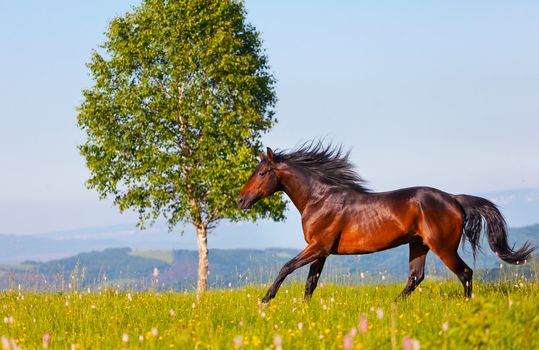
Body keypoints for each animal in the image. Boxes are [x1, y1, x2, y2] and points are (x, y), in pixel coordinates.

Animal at [239, 142, 536, 304]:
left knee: (465, 273)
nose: (241, 200)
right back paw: (393, 306)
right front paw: (303, 309)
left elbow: (287, 267)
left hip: (443, 247)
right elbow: (310, 284)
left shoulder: (318, 247)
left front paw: (265, 300)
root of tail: (454, 199)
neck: (320, 198)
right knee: (416, 277)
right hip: (418, 245)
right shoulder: (321, 251)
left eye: (262, 173)